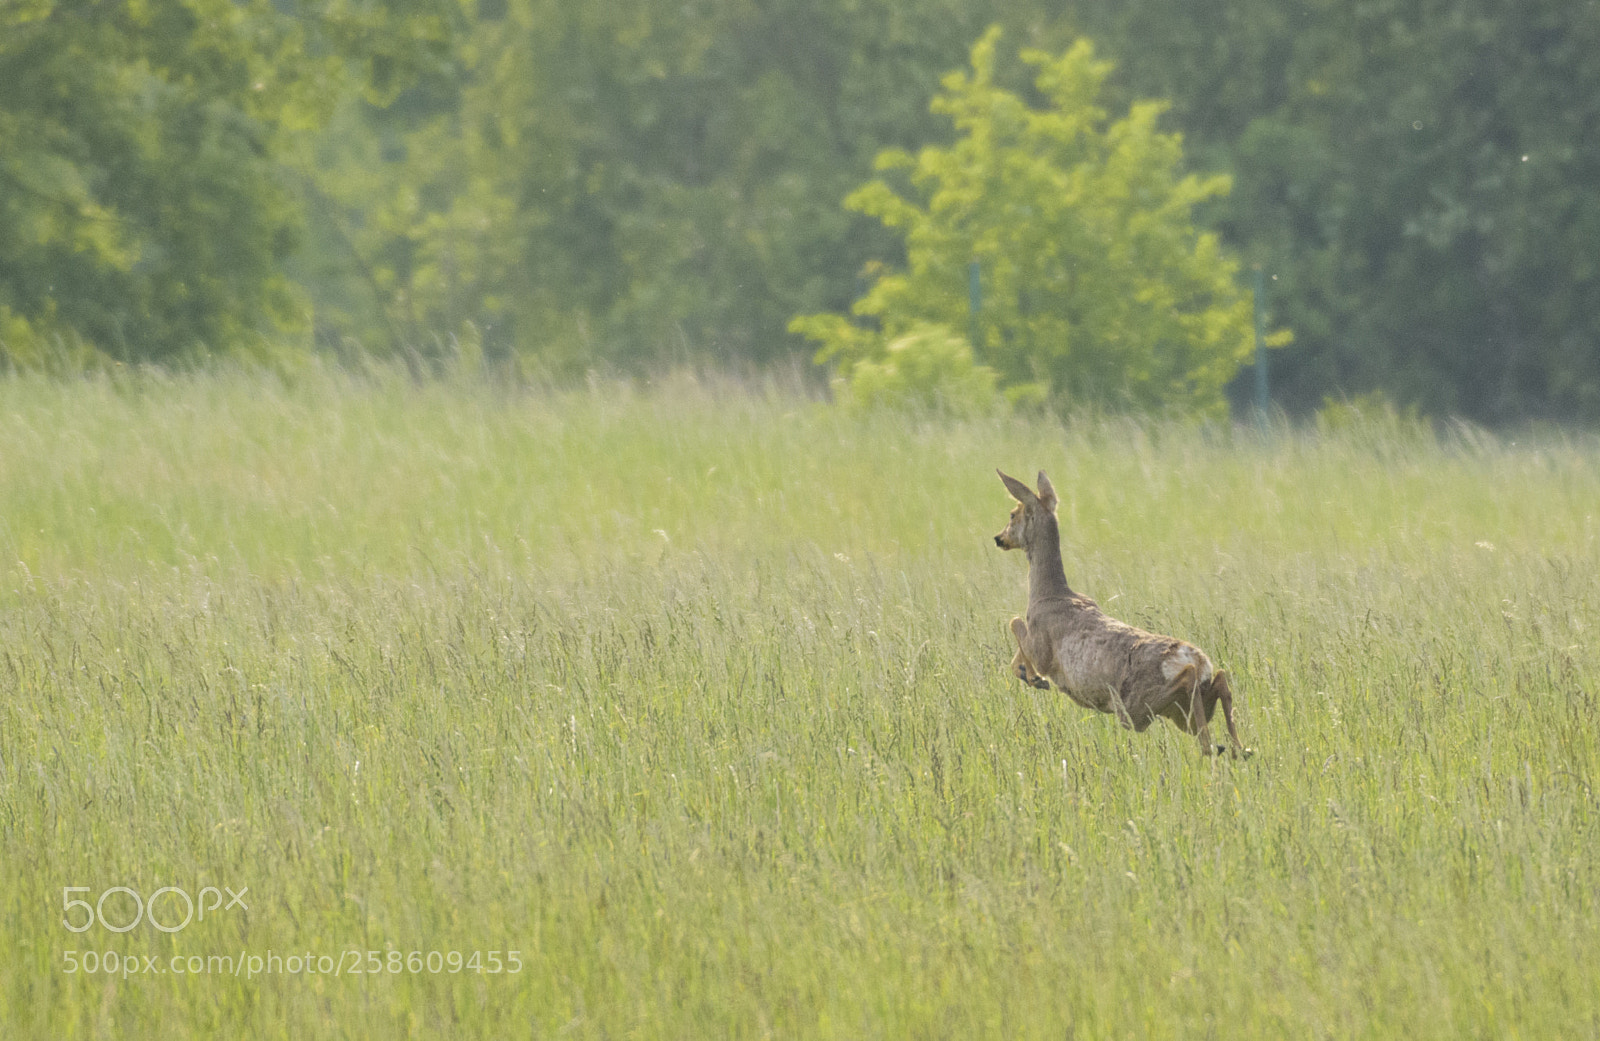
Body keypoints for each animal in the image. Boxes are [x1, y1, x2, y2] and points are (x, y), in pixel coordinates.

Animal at [994, 469, 1249, 757]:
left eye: (1012, 514)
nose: (999, 538)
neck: (1049, 593)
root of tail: (1196, 659)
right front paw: (1028, 675)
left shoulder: (1042, 650)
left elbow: (1015, 622)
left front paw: (1033, 677)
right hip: (1181, 713)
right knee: (1221, 682)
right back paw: (1239, 748)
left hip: (1135, 706)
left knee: (1192, 688)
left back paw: (1218, 748)